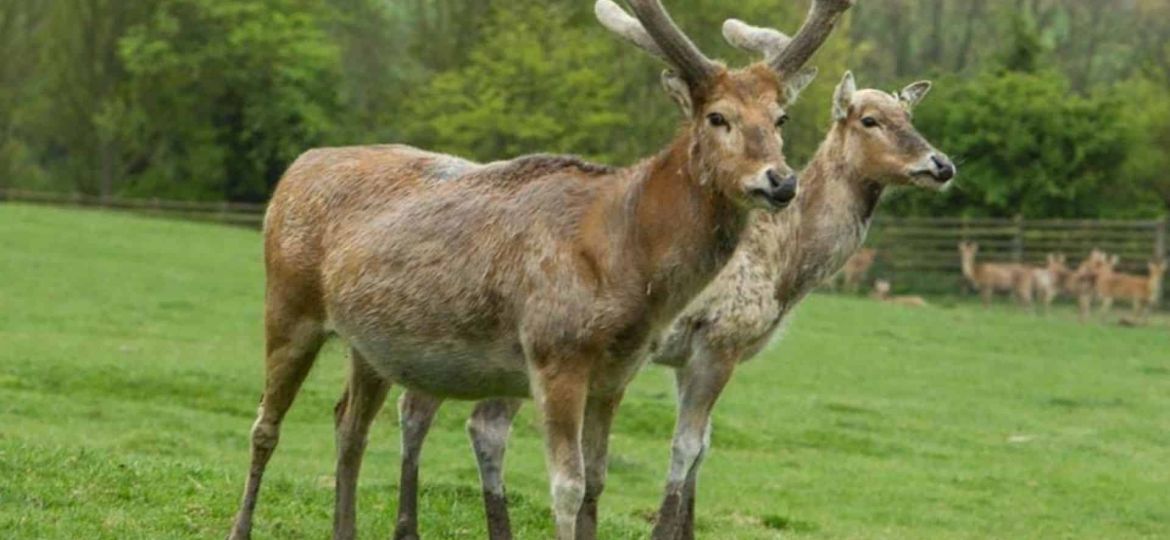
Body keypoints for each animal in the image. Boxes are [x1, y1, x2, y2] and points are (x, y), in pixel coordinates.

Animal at [224, 0, 847, 538]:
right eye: (718, 117)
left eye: (781, 116)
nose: (780, 181)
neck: (625, 263)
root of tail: (297, 167)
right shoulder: (555, 351)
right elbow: (566, 487)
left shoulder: (617, 373)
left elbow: (597, 483)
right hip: (289, 303)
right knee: (265, 424)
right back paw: (241, 526)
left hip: (369, 346)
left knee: (349, 424)